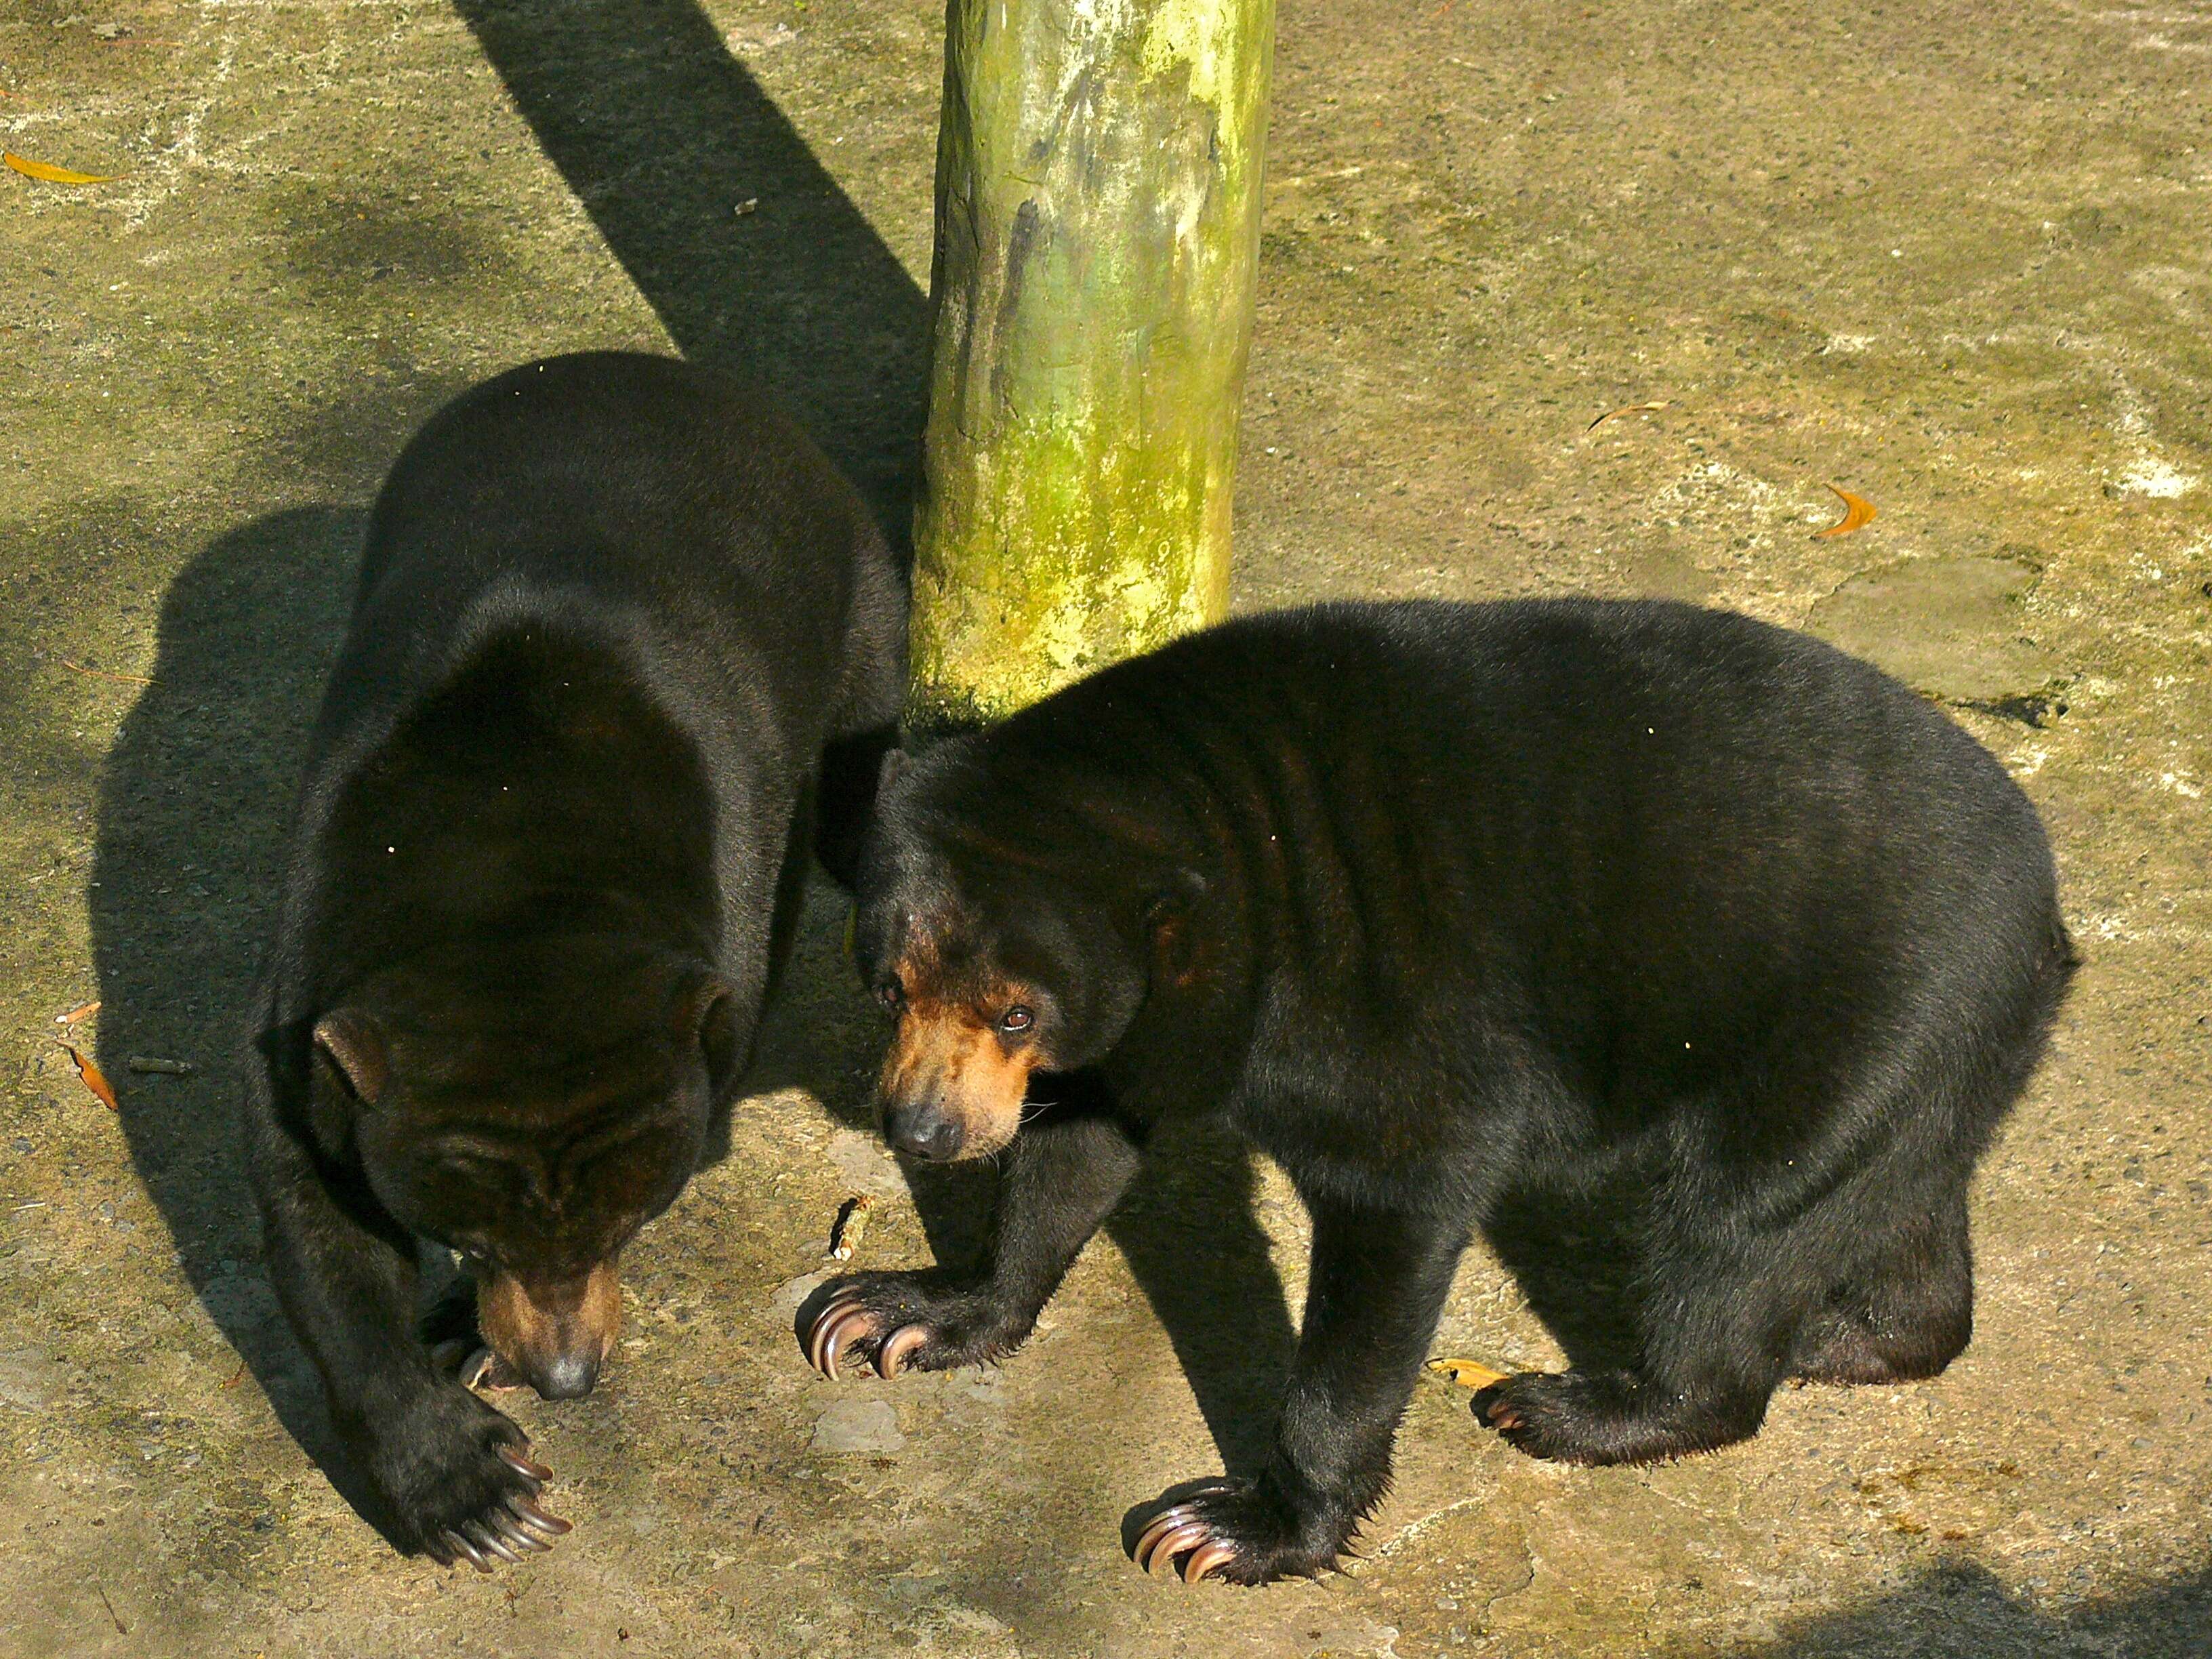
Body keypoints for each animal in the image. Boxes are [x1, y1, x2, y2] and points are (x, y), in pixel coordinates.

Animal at [256, 351, 907, 1574]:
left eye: (627, 1225)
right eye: (466, 1234)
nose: (565, 1377)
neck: (510, 882)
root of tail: (641, 368)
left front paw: (473, 1354)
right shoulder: (317, 951)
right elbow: (309, 1199)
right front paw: (475, 1489)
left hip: (860, 612)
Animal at [809, 606, 2070, 1593]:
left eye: (1015, 1011)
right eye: (891, 983)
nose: (924, 1128)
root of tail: (2046, 900)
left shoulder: (1365, 995)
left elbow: (1395, 1205)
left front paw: (1232, 1528)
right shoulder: (1135, 1024)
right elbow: (1076, 1147)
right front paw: (898, 1311)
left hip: (1854, 1009)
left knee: (1738, 1224)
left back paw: (1574, 1404)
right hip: (1918, 1055)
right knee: (1880, 1199)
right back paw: (1849, 1332)